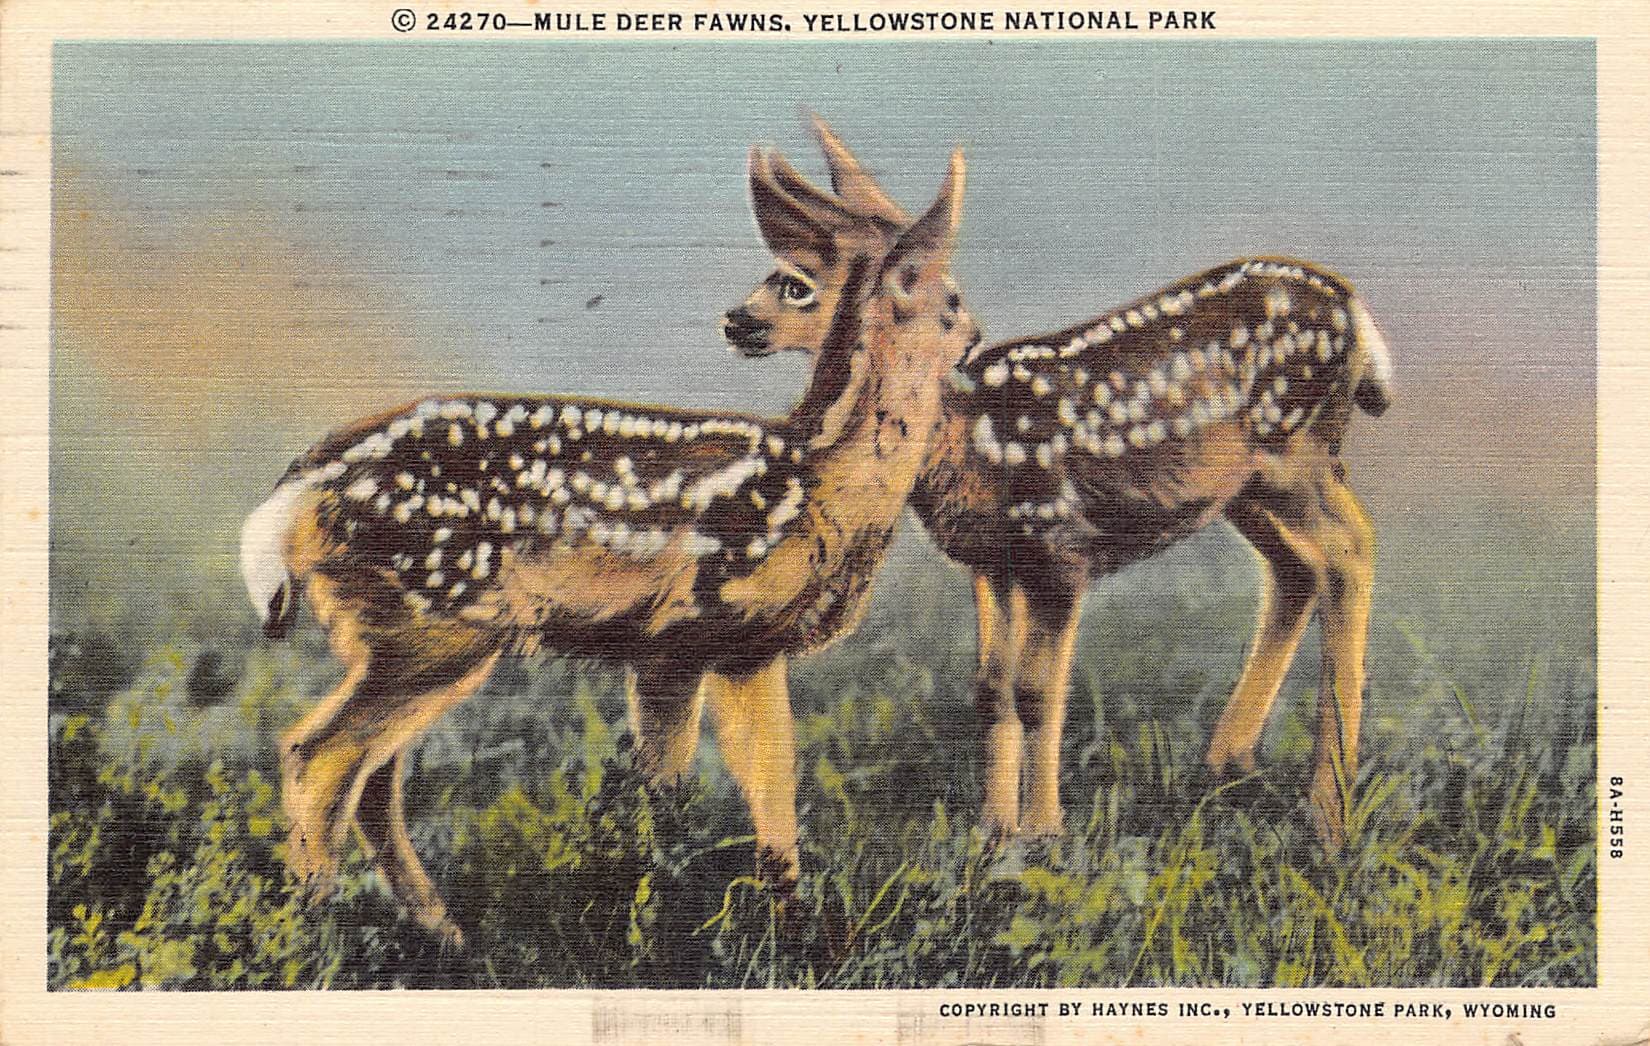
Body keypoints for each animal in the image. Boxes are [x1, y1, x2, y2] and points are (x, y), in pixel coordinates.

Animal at [238, 136, 980, 943]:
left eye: (792, 284)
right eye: (948, 295)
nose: (975, 337)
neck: (818, 479)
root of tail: (294, 494)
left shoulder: (747, 651)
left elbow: (773, 791)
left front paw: (788, 928)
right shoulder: (680, 635)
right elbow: (669, 791)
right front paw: (661, 920)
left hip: (405, 636)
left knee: (373, 777)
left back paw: (440, 933)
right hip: (434, 623)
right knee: (320, 756)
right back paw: (317, 934)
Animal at [721, 119, 1394, 851]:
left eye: (798, 284)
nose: (736, 319)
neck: (968, 433)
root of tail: (1358, 312)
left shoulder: (1056, 544)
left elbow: (1039, 692)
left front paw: (1043, 832)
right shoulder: (992, 560)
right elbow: (991, 689)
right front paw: (993, 830)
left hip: (1295, 452)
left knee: (1351, 548)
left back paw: (1329, 814)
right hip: (1245, 488)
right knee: (1298, 569)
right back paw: (1227, 762)